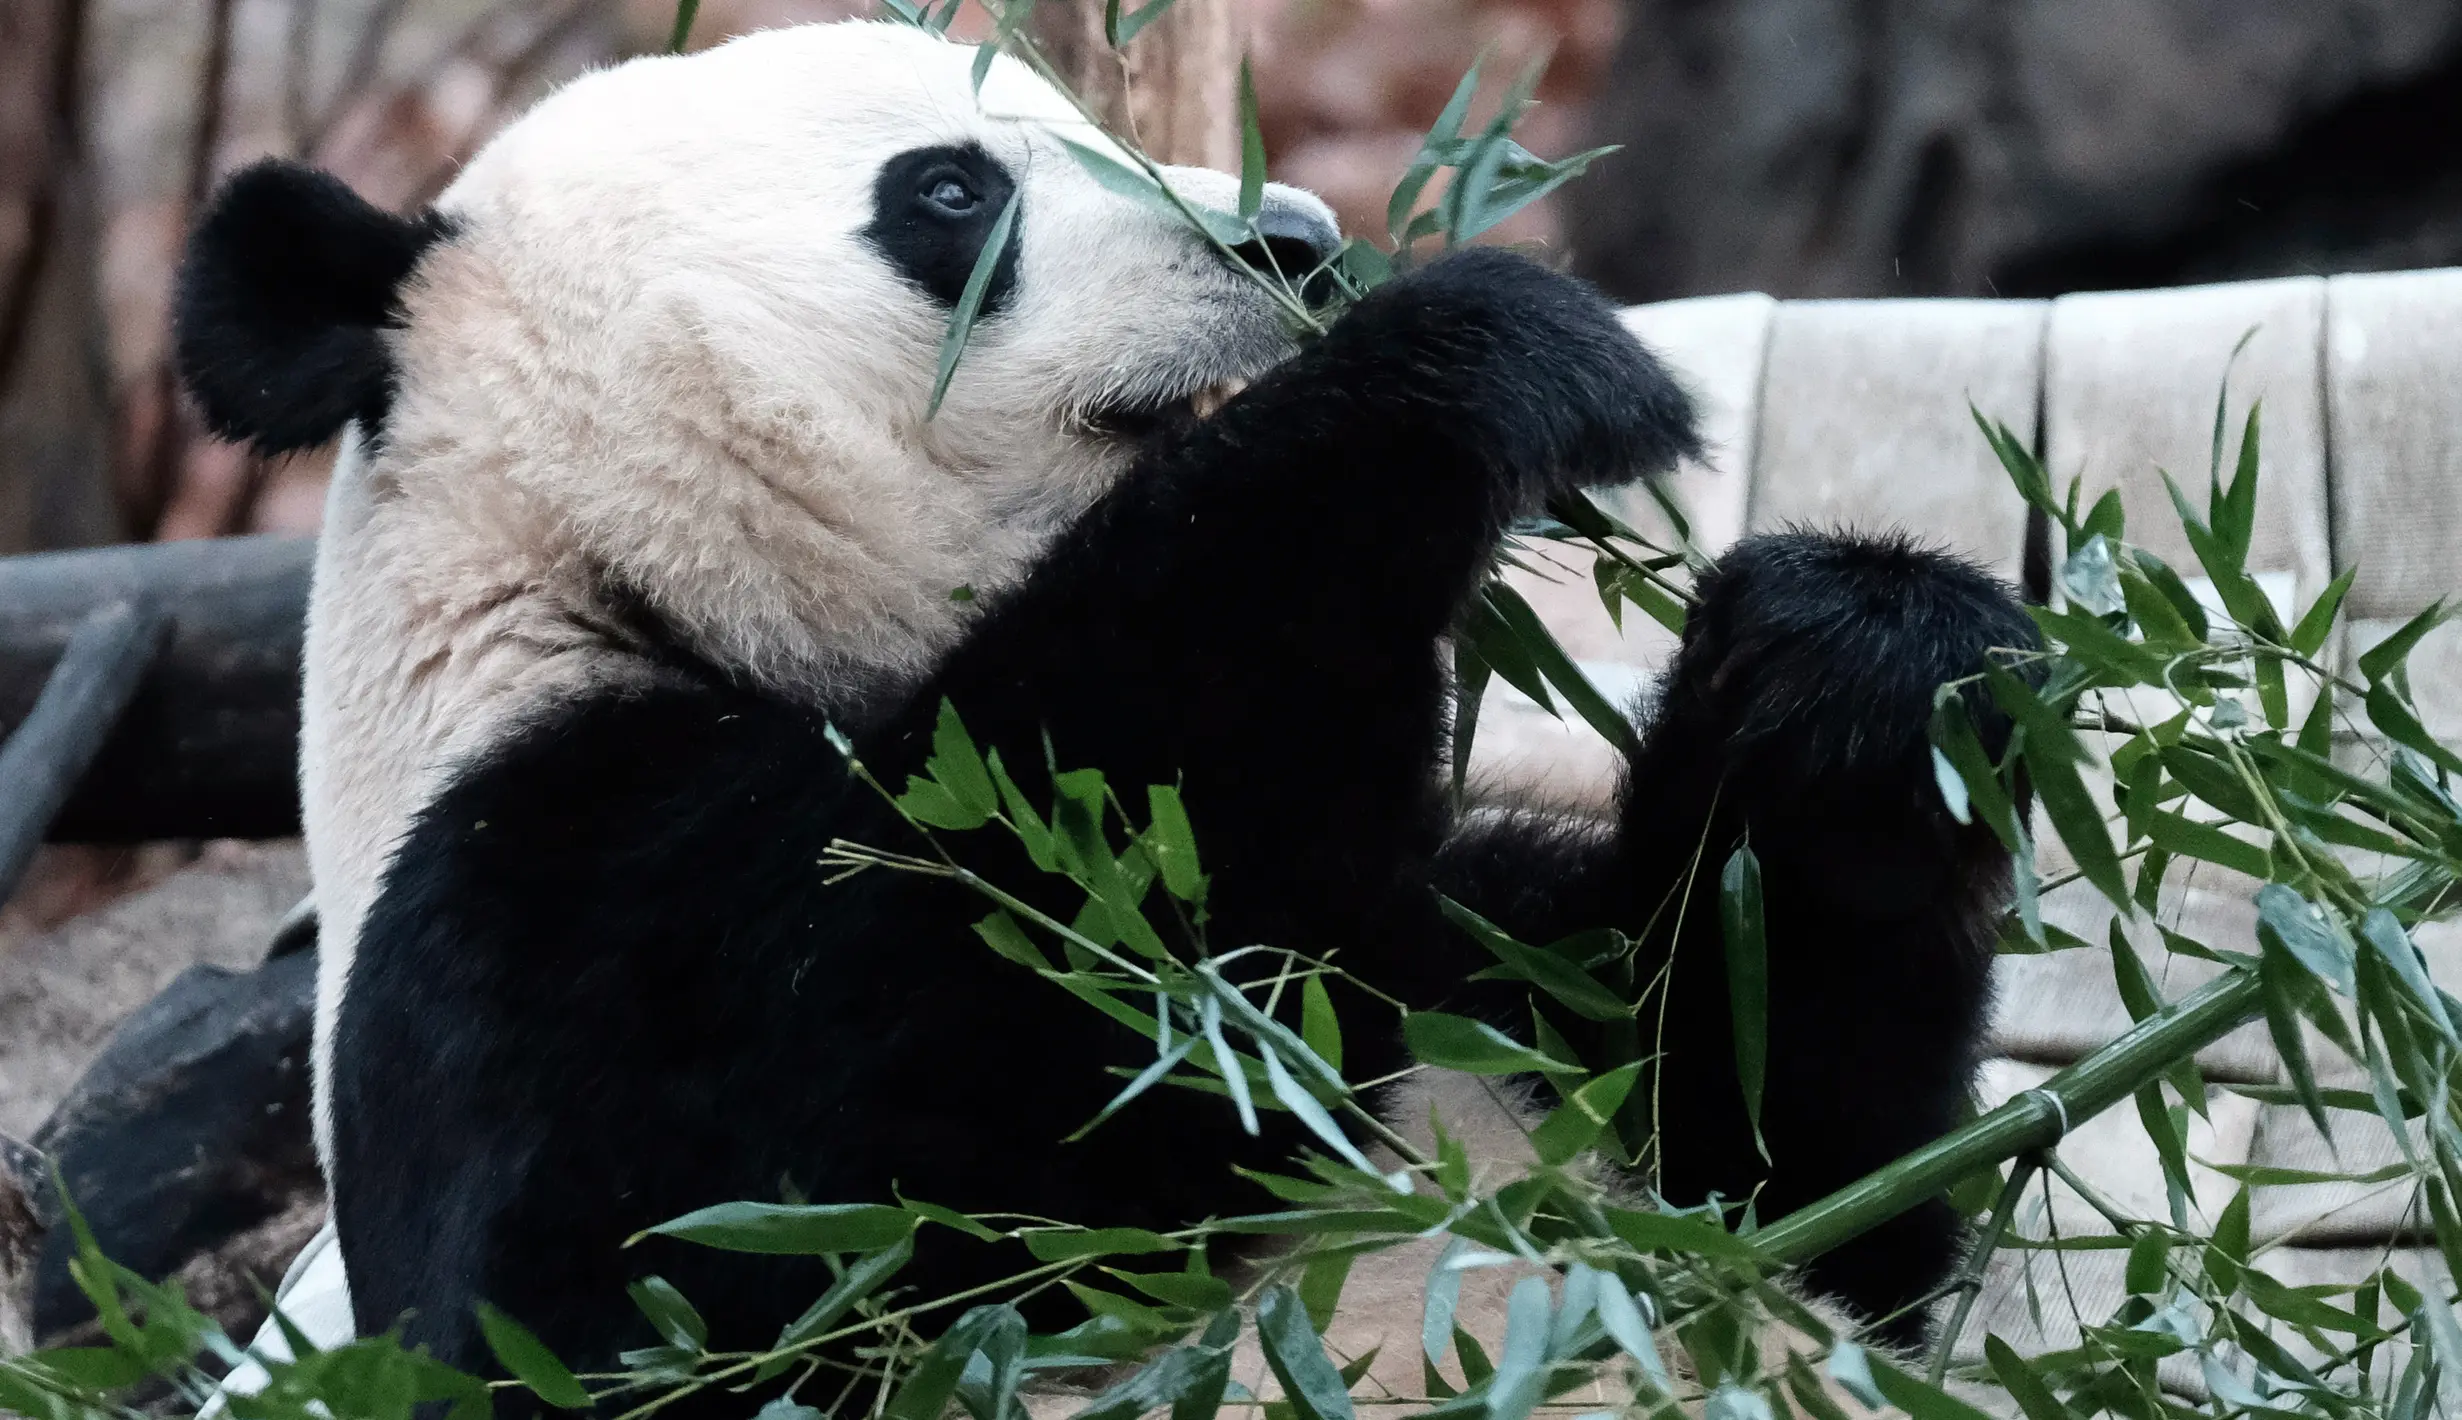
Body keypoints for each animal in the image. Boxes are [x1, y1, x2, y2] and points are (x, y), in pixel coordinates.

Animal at [172, 17, 2032, 1406]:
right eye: (946, 189)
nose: (1292, 241)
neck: (644, 591)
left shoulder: (1461, 943)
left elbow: (1771, 1143)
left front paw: (1854, 658)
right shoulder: (518, 901)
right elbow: (734, 1232)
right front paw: (1485, 352)